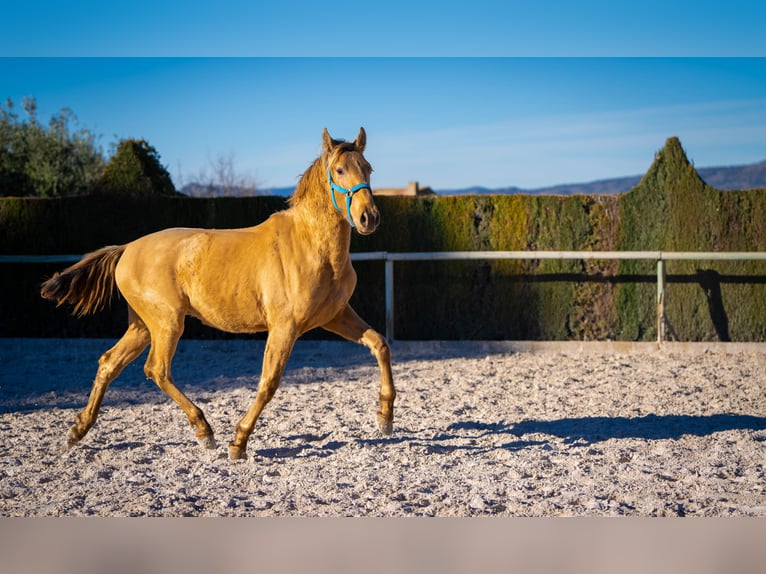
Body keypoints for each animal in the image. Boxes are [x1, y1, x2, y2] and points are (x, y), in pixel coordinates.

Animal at [40, 128, 396, 462]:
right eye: (339, 169)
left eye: (368, 168)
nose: (369, 218)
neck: (311, 245)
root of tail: (127, 249)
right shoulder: (285, 327)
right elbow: (269, 382)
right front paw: (238, 442)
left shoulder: (335, 316)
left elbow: (380, 345)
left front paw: (385, 418)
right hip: (167, 323)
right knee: (156, 369)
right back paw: (204, 430)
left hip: (143, 326)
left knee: (109, 363)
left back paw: (77, 430)